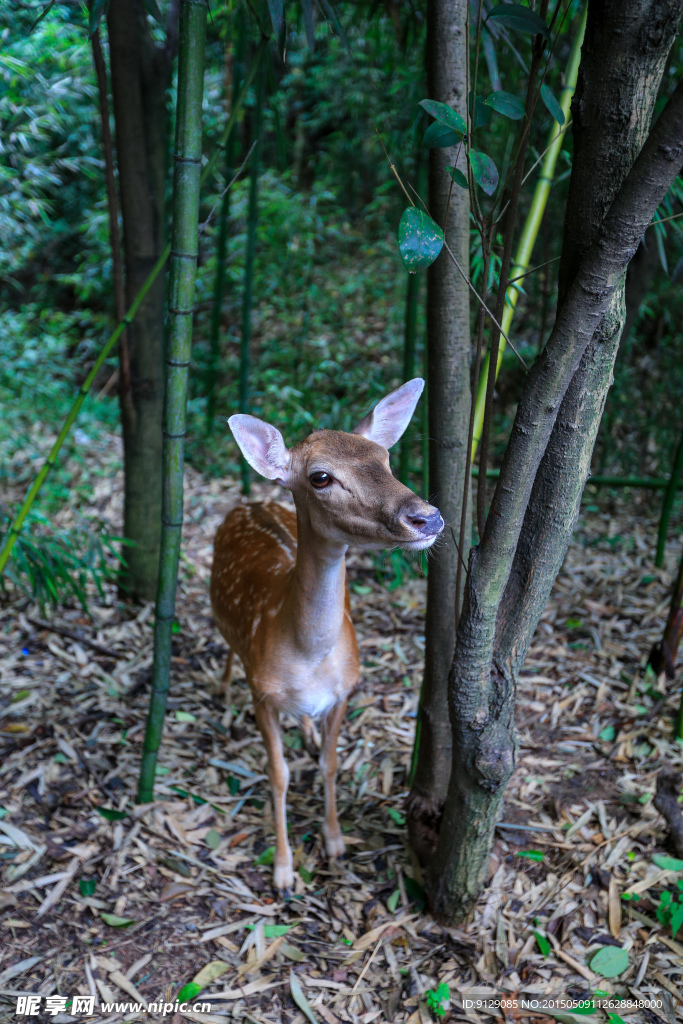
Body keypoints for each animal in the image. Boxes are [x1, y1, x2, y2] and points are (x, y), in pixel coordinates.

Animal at [210, 380, 444, 892]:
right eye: (320, 477)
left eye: (385, 458)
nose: (427, 517)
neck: (307, 656)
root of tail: (249, 501)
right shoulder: (263, 693)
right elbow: (278, 774)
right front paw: (283, 871)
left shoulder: (345, 689)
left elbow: (331, 763)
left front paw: (336, 843)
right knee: (227, 647)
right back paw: (224, 689)